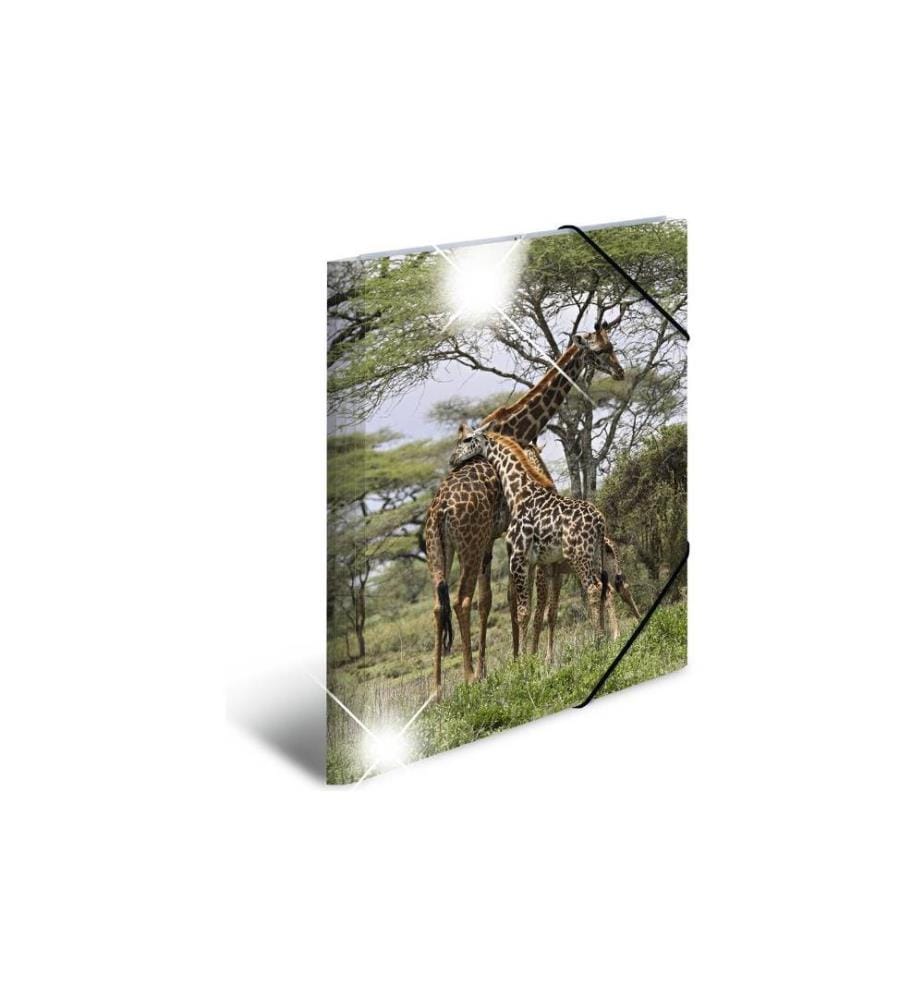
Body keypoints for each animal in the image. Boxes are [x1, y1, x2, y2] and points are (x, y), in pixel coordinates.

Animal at [448, 431, 613, 648]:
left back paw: (599, 641)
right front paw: (530, 653)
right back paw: (608, 637)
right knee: (604, 588)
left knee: (593, 589)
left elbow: (524, 611)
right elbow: (532, 610)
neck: (518, 493)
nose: (452, 459)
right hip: (594, 554)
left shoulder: (518, 558)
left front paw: (525, 656)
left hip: (579, 555)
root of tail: (601, 520)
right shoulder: (534, 562)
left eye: (467, 439)